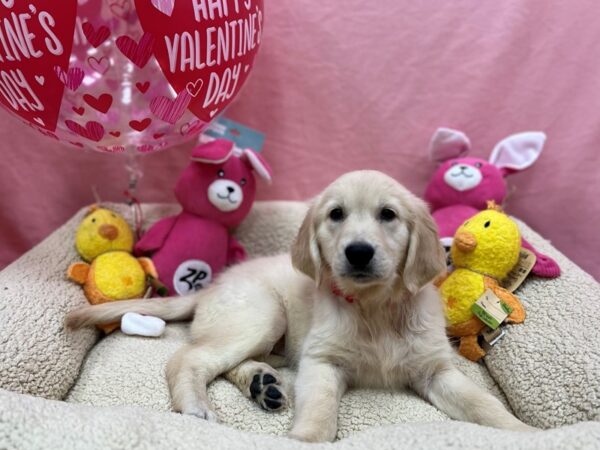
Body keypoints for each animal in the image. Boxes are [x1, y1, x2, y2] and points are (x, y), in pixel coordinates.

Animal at [67, 171, 536, 442]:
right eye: (336, 215)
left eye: (388, 215)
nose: (358, 252)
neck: (374, 309)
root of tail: (212, 285)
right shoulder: (321, 361)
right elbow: (321, 410)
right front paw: (308, 439)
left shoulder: (434, 370)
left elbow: (483, 404)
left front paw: (523, 431)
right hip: (261, 315)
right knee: (188, 358)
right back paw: (197, 406)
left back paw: (263, 384)